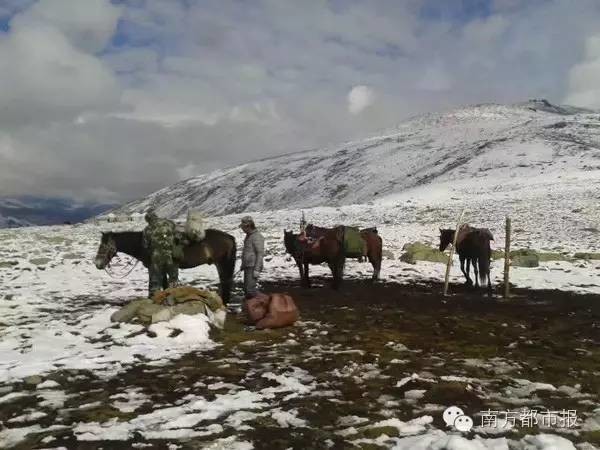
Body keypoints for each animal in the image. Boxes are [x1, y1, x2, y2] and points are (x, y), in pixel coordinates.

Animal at [92, 230, 236, 304]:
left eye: (104, 246)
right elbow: (165, 285)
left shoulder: (155, 268)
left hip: (223, 263)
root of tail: (228, 237)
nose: (97, 264)